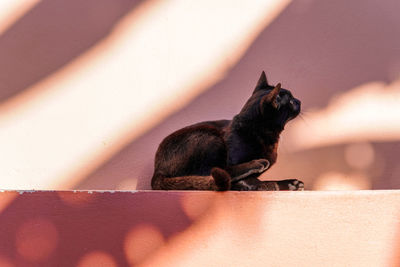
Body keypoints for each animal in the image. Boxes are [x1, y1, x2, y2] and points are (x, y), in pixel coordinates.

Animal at [152, 72, 304, 192]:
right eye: (291, 102)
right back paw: (257, 164)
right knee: (210, 172)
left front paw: (289, 184)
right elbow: (241, 177)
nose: (299, 101)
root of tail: (157, 170)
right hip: (210, 136)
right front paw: (262, 185)